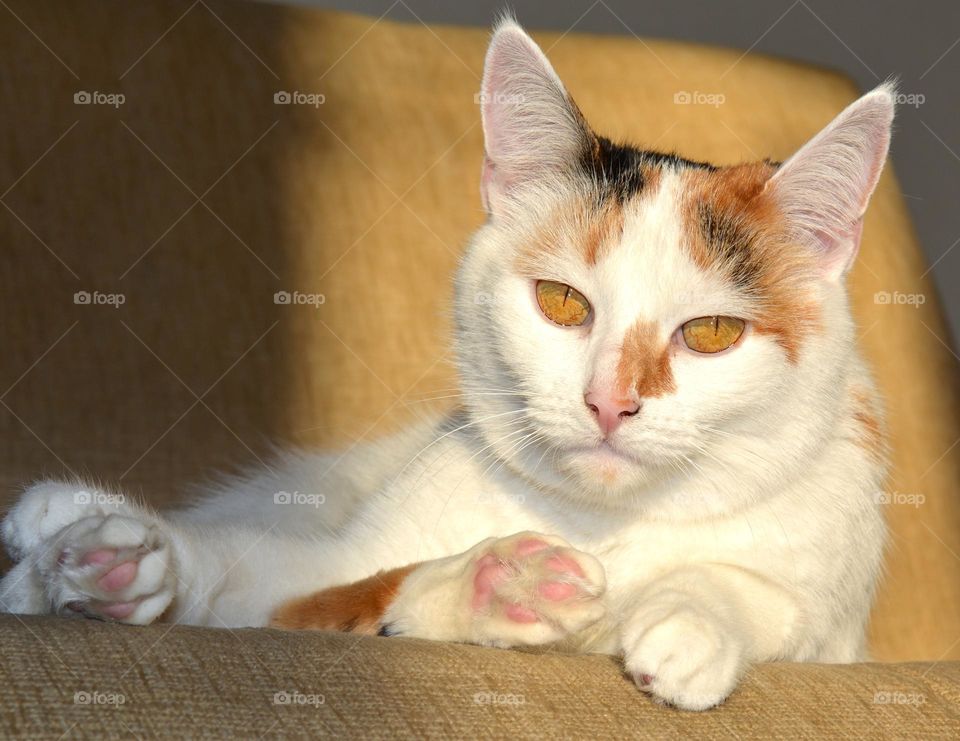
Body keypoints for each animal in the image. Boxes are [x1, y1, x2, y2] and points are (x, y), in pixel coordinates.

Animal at [0, 18, 892, 712]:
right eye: (562, 302)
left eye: (708, 332)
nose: (610, 401)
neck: (602, 525)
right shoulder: (330, 563)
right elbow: (287, 585)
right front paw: (123, 566)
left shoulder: (837, 609)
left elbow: (782, 605)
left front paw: (693, 614)